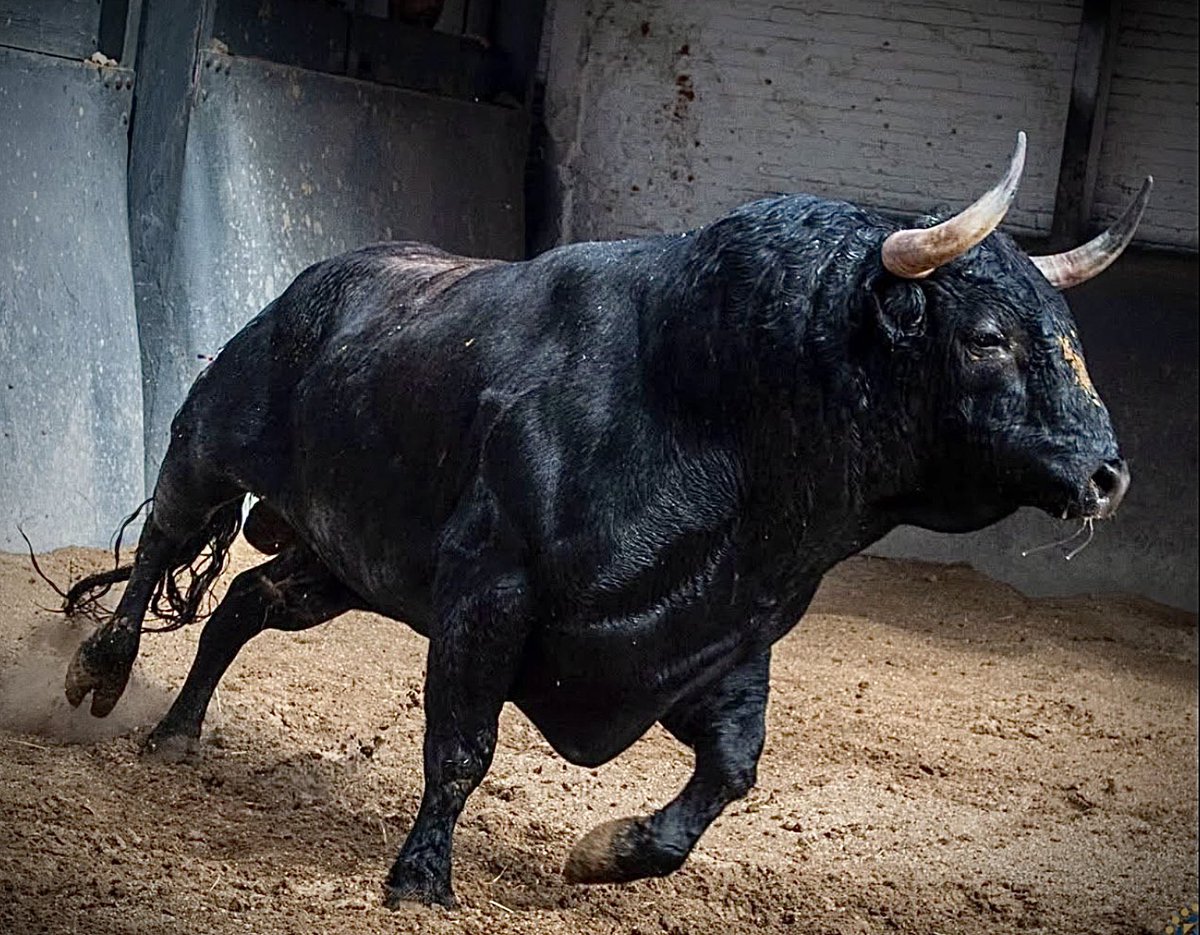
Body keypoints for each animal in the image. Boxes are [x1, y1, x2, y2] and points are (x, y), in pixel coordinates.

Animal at [61, 133, 1148, 908]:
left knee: (242, 604)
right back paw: (101, 673)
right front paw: (420, 878)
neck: (711, 393)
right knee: (159, 546)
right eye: (989, 337)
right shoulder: (488, 590)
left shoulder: (716, 636)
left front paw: (608, 851)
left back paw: (177, 736)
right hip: (210, 443)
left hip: (338, 562)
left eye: (1066, 331)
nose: (1106, 474)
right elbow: (462, 745)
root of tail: (312, 284)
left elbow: (733, 766)